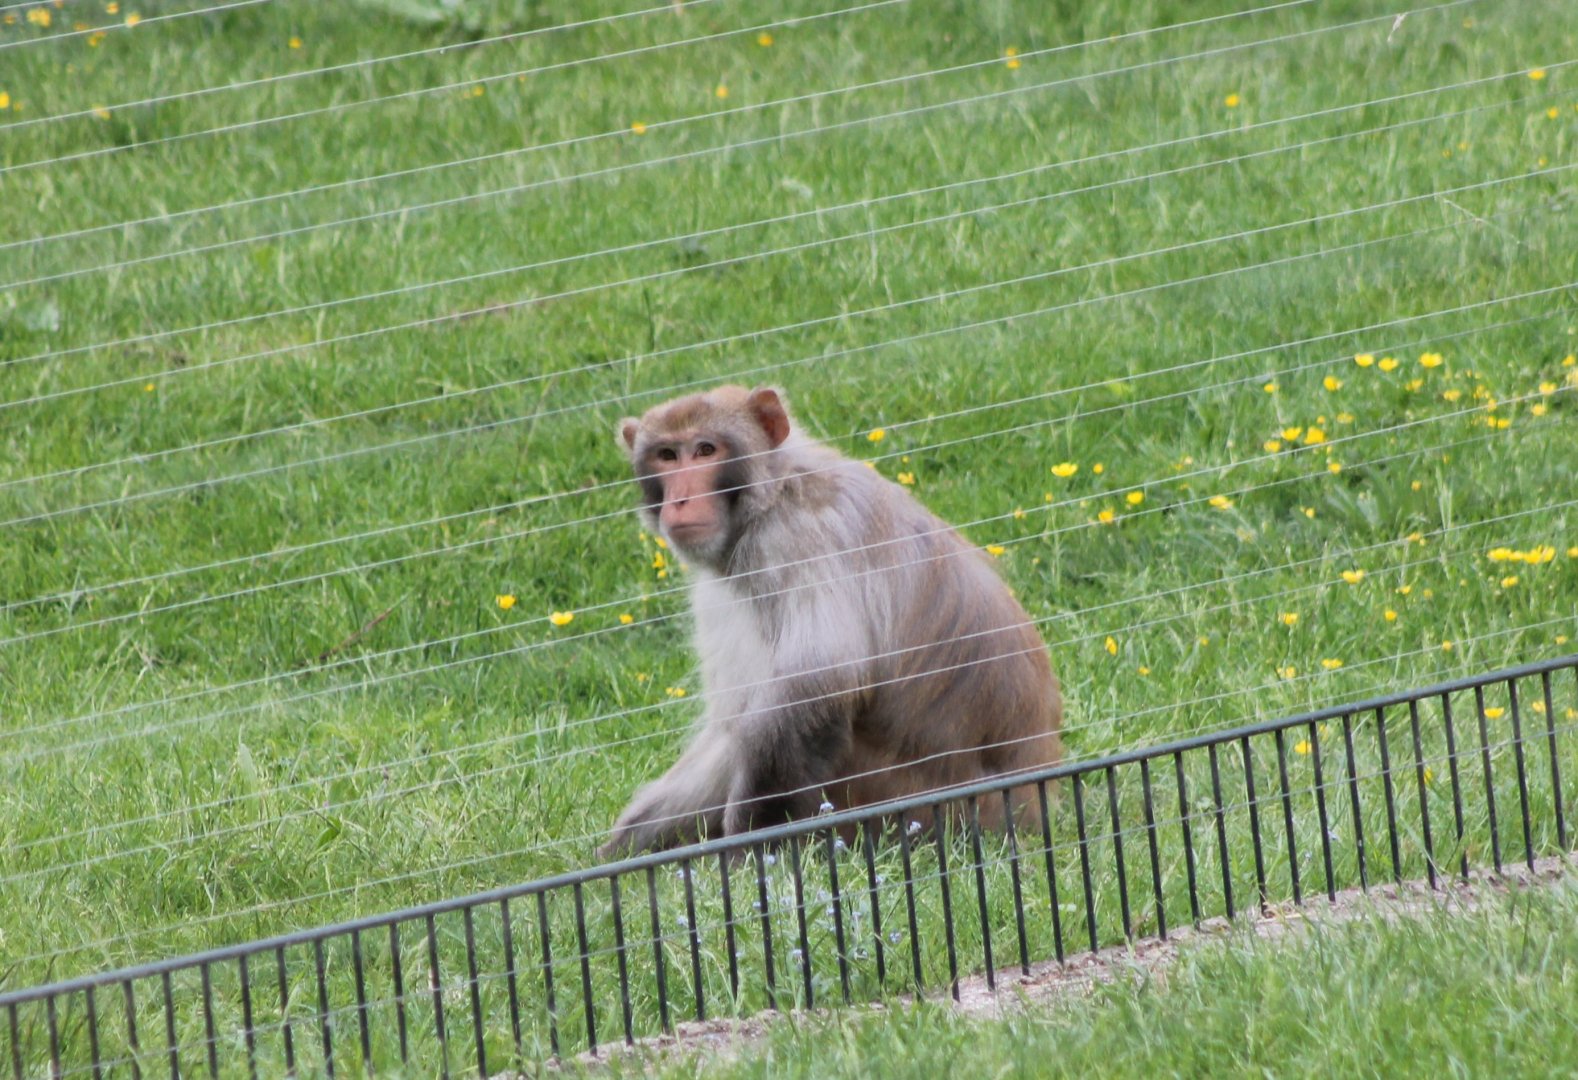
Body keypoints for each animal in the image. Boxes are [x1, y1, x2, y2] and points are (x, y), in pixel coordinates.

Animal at [599, 385, 1061, 858]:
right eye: (667, 455)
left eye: (705, 450)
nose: (680, 499)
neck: (775, 489)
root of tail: (1031, 805)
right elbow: (735, 720)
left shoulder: (797, 539)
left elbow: (815, 685)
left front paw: (754, 851)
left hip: (913, 804)